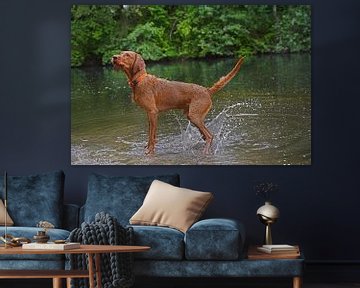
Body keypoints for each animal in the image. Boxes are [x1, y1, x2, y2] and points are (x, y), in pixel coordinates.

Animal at [111, 51, 243, 155]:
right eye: (120, 53)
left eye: (127, 55)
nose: (114, 57)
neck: (139, 80)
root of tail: (207, 90)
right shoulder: (149, 114)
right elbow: (150, 135)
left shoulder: (153, 112)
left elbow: (152, 136)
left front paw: (149, 151)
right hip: (192, 116)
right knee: (206, 136)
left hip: (194, 117)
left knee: (210, 136)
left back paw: (205, 152)